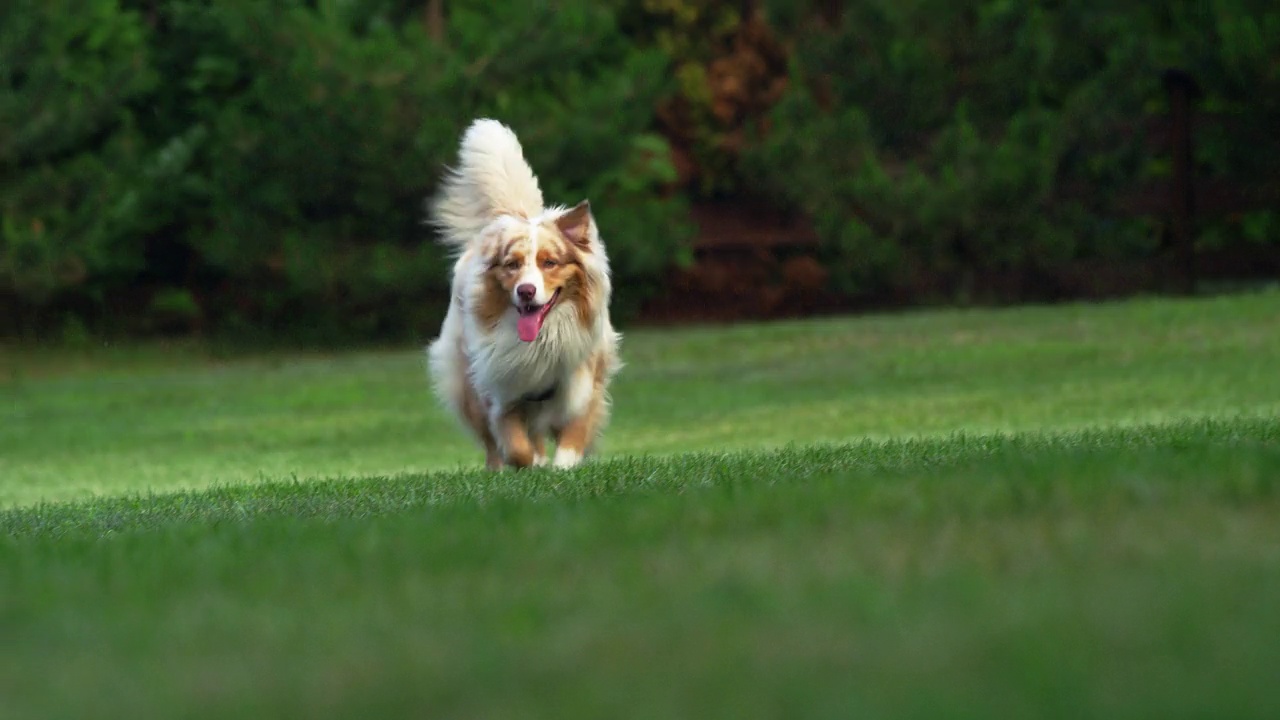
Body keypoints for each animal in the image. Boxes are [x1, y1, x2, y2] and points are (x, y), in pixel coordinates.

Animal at [427, 120, 622, 468]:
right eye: (512, 264)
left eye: (549, 262)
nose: (527, 291)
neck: (542, 341)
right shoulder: (503, 393)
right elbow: (517, 449)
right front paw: (532, 465)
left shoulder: (582, 387)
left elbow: (571, 441)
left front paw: (561, 468)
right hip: (468, 383)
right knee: (493, 445)